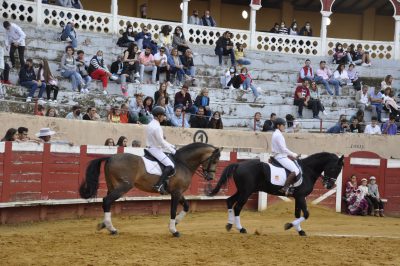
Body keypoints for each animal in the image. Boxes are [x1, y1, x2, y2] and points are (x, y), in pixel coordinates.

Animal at [79, 143, 220, 237]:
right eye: (214, 160)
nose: (210, 177)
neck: (183, 163)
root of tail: (110, 157)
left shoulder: (178, 192)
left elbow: (186, 206)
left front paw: (176, 223)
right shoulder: (176, 193)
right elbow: (173, 211)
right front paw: (174, 230)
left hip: (112, 186)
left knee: (107, 202)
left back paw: (104, 225)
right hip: (123, 187)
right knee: (107, 201)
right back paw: (112, 229)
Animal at [209, 153, 344, 236]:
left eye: (339, 170)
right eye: (334, 169)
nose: (329, 185)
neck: (307, 171)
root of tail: (239, 164)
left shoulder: (297, 197)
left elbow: (297, 213)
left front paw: (300, 231)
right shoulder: (301, 197)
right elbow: (306, 214)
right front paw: (289, 225)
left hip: (242, 191)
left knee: (230, 201)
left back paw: (229, 225)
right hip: (246, 192)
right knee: (237, 207)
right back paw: (241, 229)